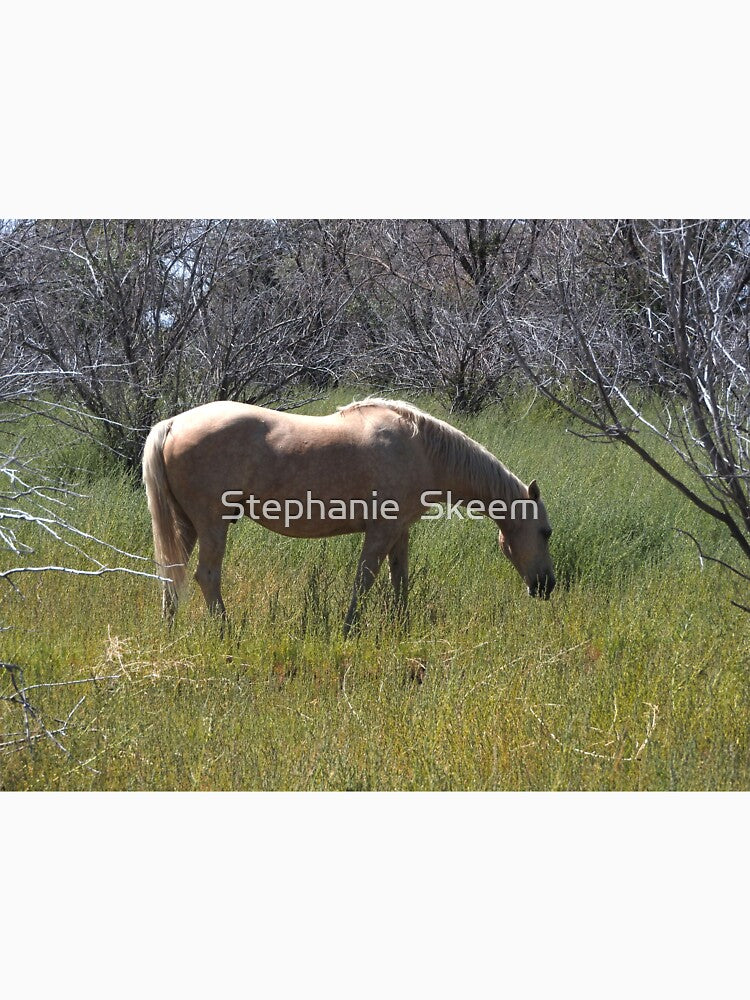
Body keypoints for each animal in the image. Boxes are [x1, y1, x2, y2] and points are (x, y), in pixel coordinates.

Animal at [142, 397, 555, 634]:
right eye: (546, 532)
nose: (547, 586)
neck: (420, 449)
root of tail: (173, 424)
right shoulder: (381, 531)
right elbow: (365, 580)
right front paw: (349, 630)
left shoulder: (400, 532)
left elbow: (398, 580)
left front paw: (401, 628)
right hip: (212, 524)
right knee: (207, 576)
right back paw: (227, 633)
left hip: (186, 525)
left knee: (172, 573)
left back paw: (169, 629)